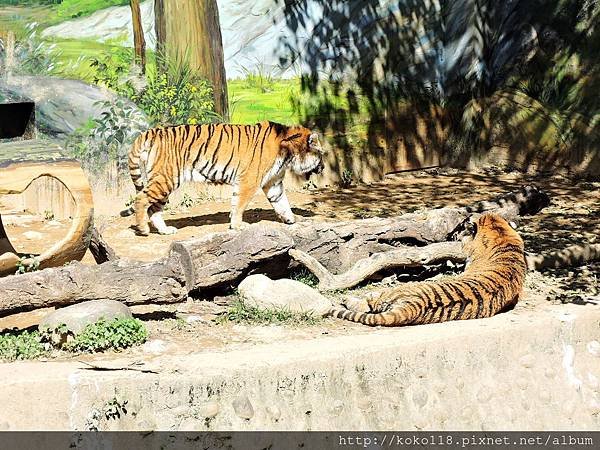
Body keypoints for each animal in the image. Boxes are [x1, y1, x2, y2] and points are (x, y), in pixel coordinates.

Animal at [120, 122, 324, 236]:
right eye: (321, 155)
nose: (322, 168)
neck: (288, 153)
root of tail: (148, 132)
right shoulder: (249, 181)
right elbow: (239, 204)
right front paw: (238, 226)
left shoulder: (273, 182)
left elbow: (282, 202)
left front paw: (292, 219)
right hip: (165, 179)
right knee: (141, 199)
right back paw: (144, 230)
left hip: (164, 183)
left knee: (154, 208)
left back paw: (165, 231)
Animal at [328, 214, 524, 326]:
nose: (456, 233)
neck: (503, 237)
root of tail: (414, 306)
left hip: (394, 291)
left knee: (368, 302)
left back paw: (346, 299)